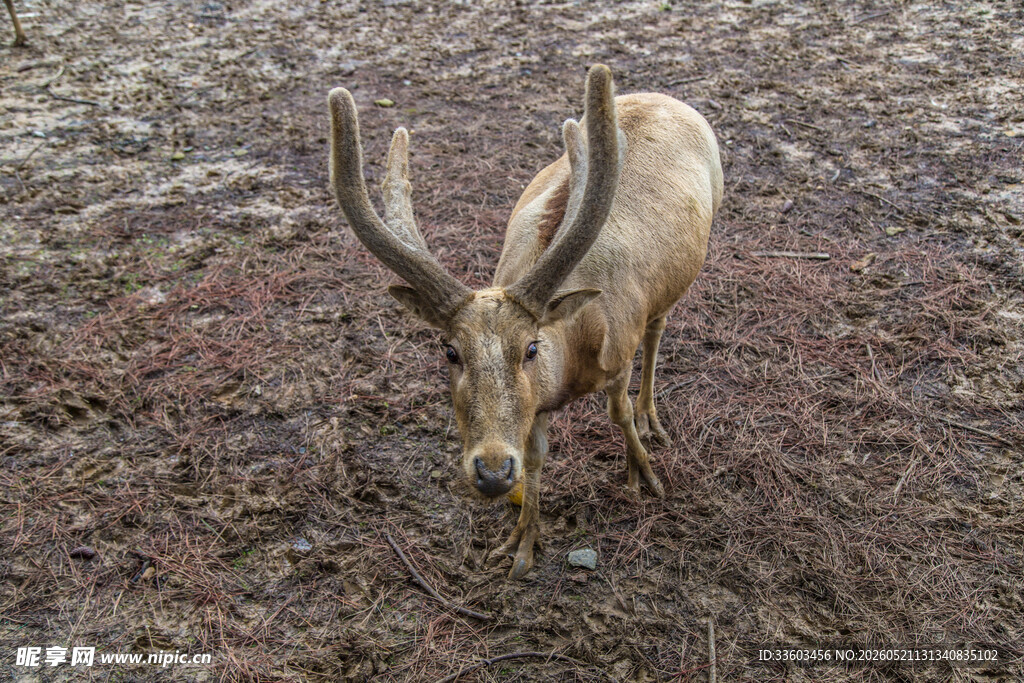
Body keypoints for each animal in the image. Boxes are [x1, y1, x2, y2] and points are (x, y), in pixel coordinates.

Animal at [328, 65, 722, 579]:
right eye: (449, 350)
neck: (573, 359)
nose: (493, 471)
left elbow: (617, 413)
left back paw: (649, 415)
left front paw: (645, 474)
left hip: (687, 262)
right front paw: (522, 544)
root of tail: (668, 98)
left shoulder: (619, 352)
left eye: (531, 347)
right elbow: (535, 459)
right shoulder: (535, 409)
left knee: (658, 329)